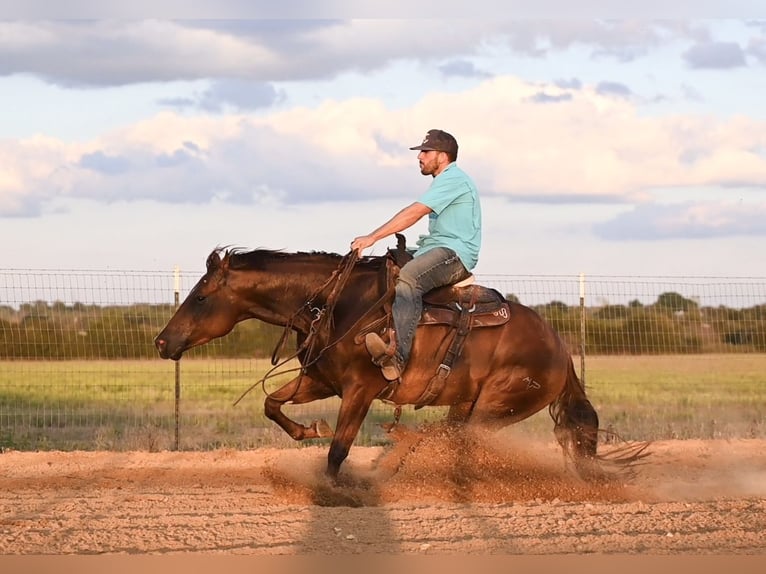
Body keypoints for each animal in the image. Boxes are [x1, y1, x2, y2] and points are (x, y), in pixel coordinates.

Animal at [156, 243, 640, 482]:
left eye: (201, 297)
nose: (162, 342)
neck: (338, 306)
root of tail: (559, 346)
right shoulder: (321, 380)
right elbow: (272, 405)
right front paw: (309, 429)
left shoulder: (360, 390)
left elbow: (338, 451)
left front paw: (332, 489)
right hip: (466, 404)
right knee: (450, 437)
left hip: (496, 406)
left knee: (462, 443)